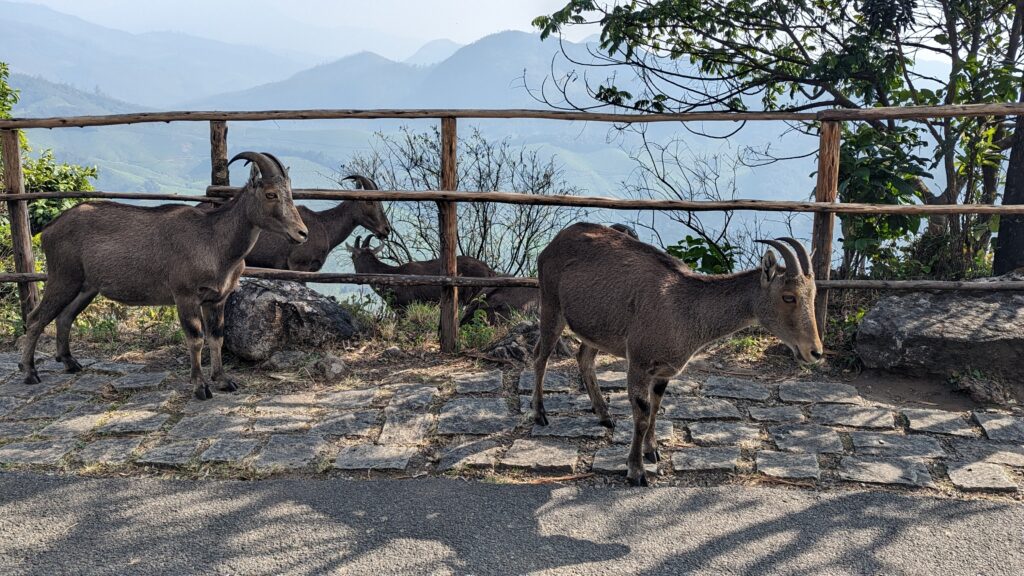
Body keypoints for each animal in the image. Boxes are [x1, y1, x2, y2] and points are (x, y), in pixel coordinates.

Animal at [19, 150, 307, 397]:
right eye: (270, 194)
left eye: (290, 194)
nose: (302, 233)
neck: (214, 241)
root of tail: (48, 229)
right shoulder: (185, 295)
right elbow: (196, 339)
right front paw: (200, 387)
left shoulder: (216, 299)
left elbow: (217, 338)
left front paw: (224, 380)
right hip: (63, 277)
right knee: (36, 318)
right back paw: (30, 372)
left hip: (87, 286)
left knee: (64, 316)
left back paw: (70, 363)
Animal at [532, 223, 819, 483]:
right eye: (788, 296)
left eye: (813, 294)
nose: (814, 351)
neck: (684, 308)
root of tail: (555, 240)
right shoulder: (638, 362)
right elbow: (642, 415)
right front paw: (636, 471)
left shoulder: (663, 370)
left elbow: (656, 407)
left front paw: (652, 451)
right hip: (551, 305)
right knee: (540, 356)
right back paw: (540, 414)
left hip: (597, 328)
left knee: (584, 357)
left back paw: (604, 416)